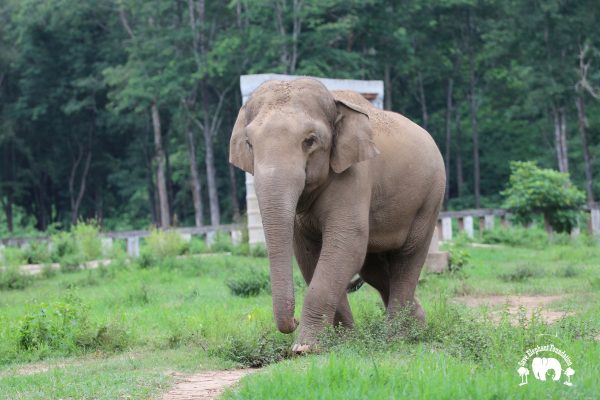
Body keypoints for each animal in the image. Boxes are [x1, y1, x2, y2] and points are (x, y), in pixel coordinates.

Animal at [230, 76, 446, 352]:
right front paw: (344, 340)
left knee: (407, 258)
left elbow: (345, 244)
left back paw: (397, 337)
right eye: (249, 144)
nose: (294, 320)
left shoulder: (355, 175)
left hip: (430, 198)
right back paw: (417, 322)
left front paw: (304, 348)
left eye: (310, 140)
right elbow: (309, 254)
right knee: (372, 268)